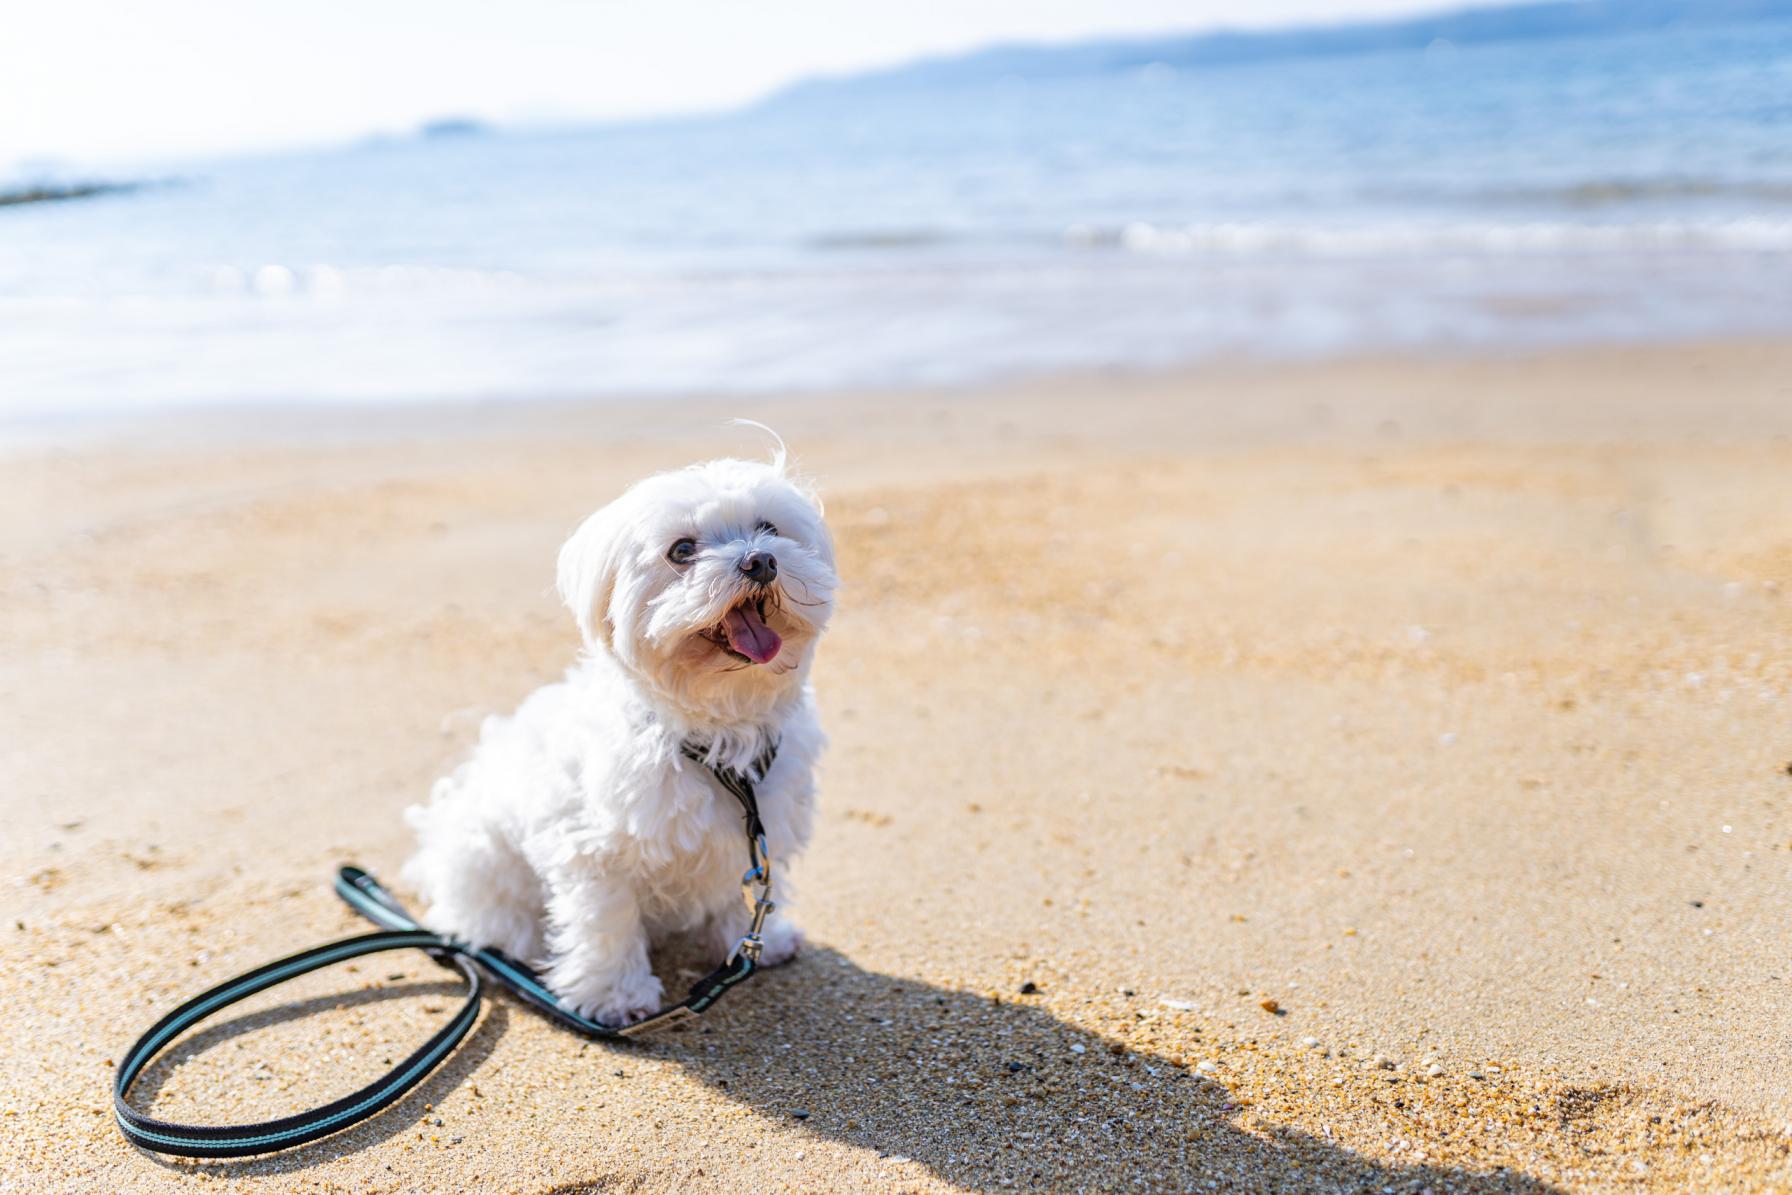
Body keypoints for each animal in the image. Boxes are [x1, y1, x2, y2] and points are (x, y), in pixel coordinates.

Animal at [403, 444, 835, 1024]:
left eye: (768, 529)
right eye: (682, 550)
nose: (760, 560)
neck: (715, 733)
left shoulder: (748, 839)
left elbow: (734, 898)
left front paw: (752, 946)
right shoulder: (593, 848)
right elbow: (607, 921)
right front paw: (617, 996)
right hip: (487, 862)